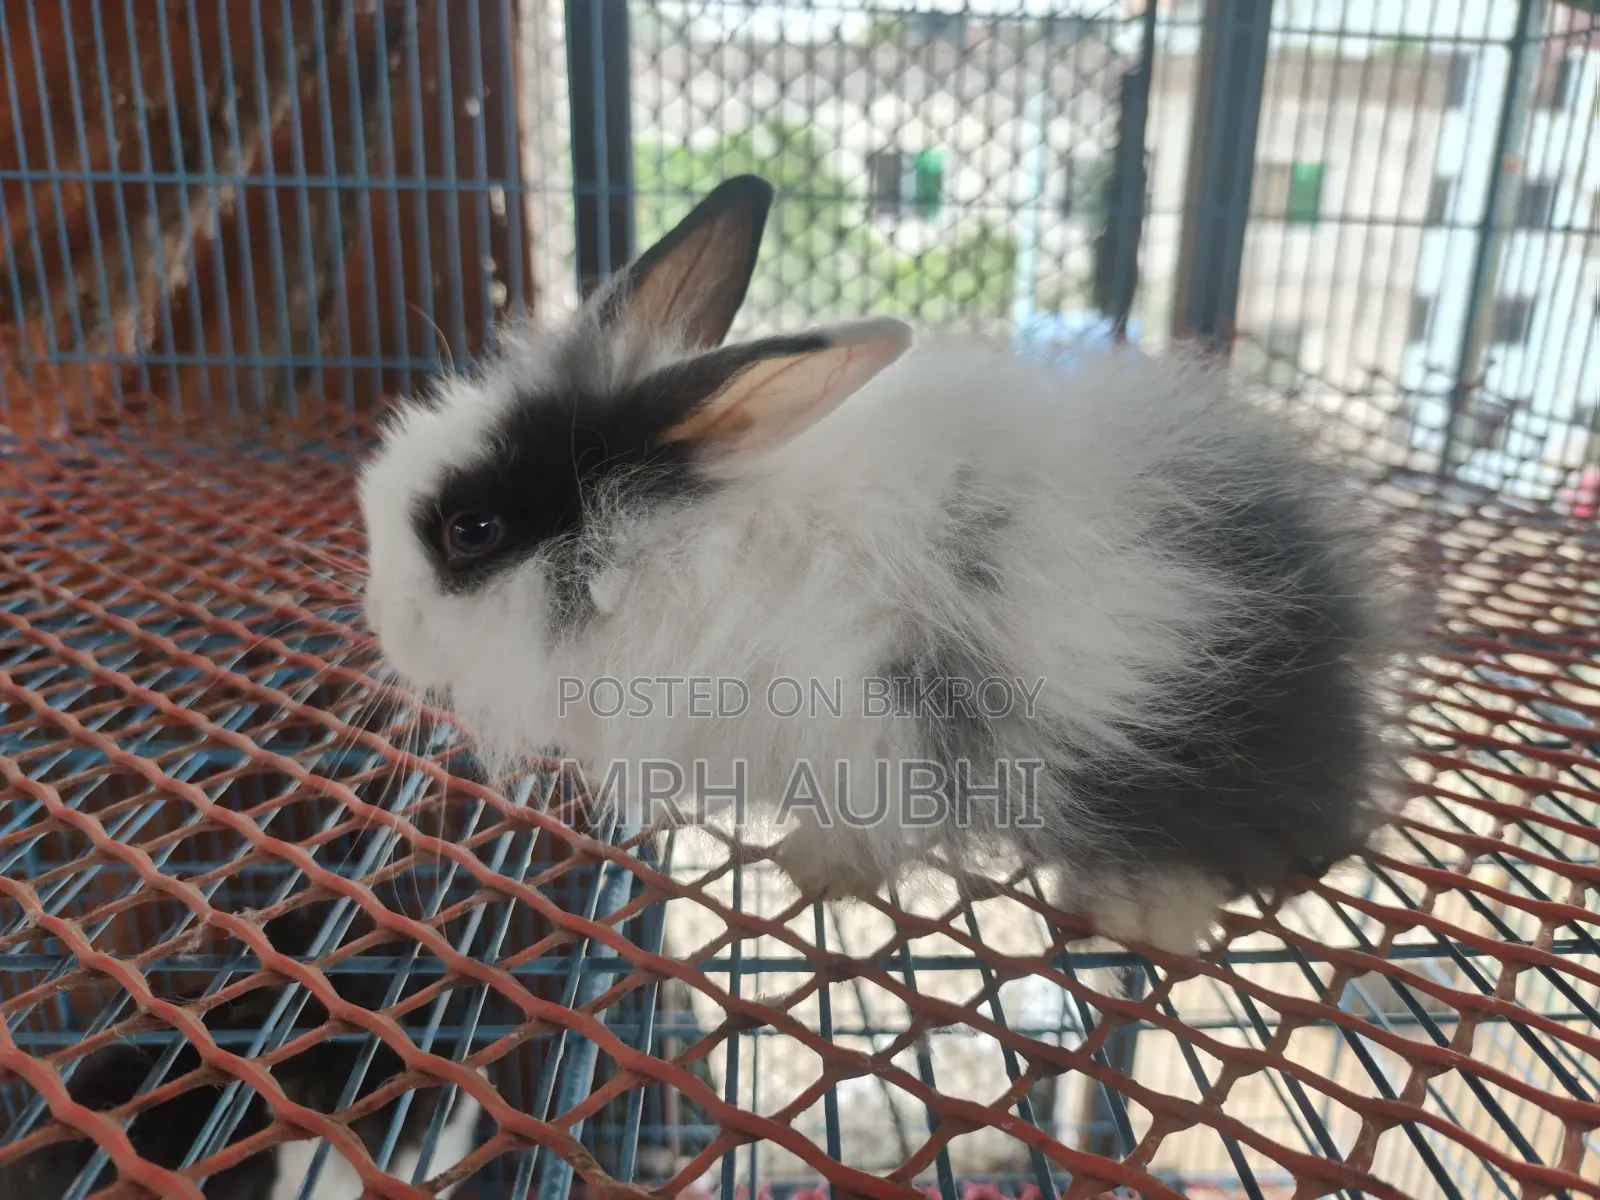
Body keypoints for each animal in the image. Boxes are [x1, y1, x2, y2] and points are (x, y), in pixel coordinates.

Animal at [358, 174, 1398, 953]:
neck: (673, 545)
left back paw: (1140, 911)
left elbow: (869, 822)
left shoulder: (870, 725)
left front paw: (815, 868)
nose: (384, 625)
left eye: (471, 531)